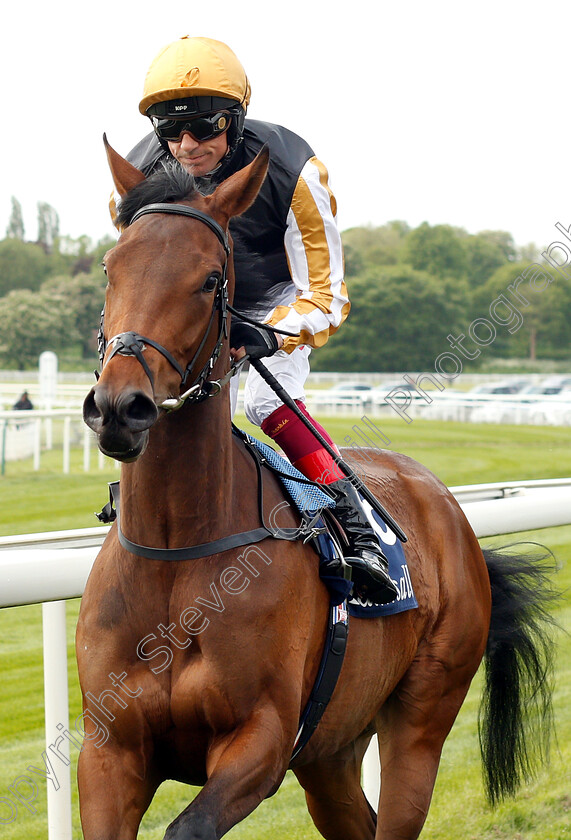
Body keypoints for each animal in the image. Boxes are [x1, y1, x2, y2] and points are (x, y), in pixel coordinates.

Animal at [78, 139, 556, 840]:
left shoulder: (263, 739)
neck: (177, 552)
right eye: (111, 269)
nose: (120, 407)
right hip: (332, 751)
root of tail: (449, 510)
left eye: (211, 279)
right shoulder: (108, 752)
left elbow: (189, 826)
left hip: (421, 718)